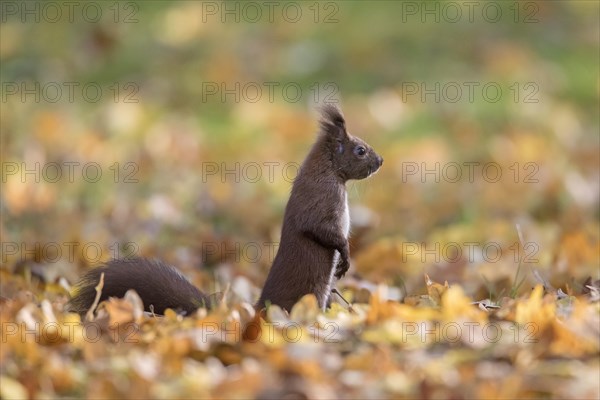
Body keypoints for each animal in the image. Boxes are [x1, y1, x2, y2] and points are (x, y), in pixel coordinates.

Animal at [67, 104, 384, 318]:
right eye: (359, 150)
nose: (380, 161)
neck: (330, 173)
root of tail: (258, 311)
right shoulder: (320, 203)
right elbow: (322, 231)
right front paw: (345, 255)